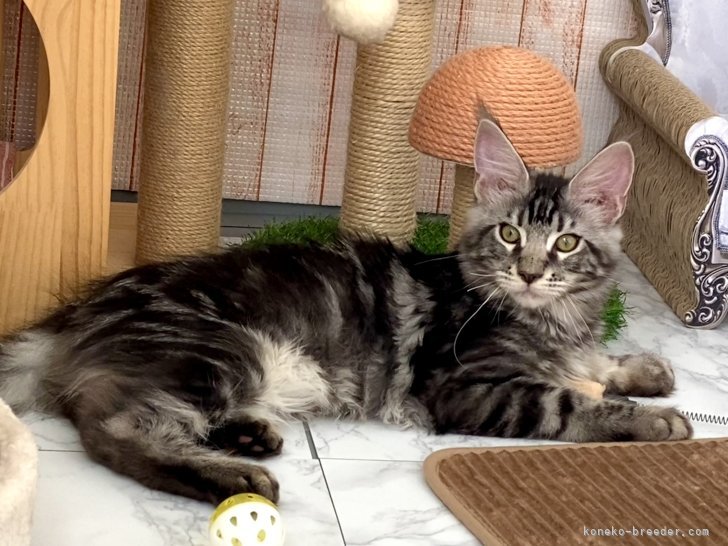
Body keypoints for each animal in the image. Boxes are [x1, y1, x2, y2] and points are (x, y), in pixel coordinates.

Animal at [0, 120, 691, 505]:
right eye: (509, 235)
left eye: (566, 243)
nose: (527, 273)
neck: (552, 320)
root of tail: (71, 319)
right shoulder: (467, 388)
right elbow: (571, 403)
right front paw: (652, 421)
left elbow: (596, 365)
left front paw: (644, 370)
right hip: (226, 351)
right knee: (110, 431)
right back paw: (235, 480)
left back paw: (247, 437)